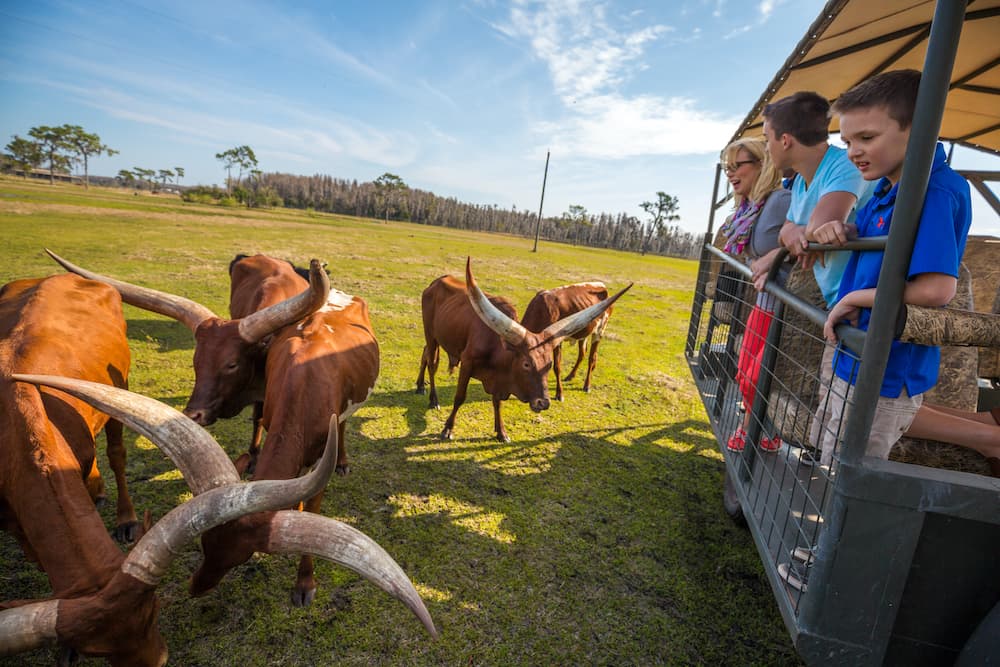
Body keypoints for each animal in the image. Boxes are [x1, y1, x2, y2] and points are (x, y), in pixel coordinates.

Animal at [48, 250, 386, 604]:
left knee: (344, 428)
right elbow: (262, 427)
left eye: (232, 364)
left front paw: (304, 582)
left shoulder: (321, 447)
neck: (305, 385)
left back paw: (343, 461)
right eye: (204, 545)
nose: (196, 587)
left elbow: (314, 505)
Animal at [412, 260, 628, 444]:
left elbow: (497, 402)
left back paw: (420, 386)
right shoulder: (467, 364)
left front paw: (501, 432)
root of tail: (437, 281)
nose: (543, 403)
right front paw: (447, 429)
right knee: (432, 363)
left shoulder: (499, 378)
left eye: (547, 364)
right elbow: (459, 397)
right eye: (526, 364)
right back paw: (433, 399)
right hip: (430, 334)